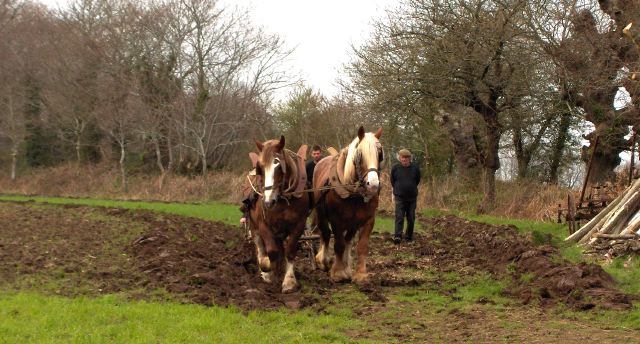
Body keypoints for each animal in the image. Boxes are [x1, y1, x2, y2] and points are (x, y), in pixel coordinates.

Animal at [248, 136, 310, 292]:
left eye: (278, 165)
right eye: (260, 167)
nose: (268, 201)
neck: (282, 199)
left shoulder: (299, 225)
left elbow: (289, 251)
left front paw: (289, 281)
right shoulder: (263, 225)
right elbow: (271, 252)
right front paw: (267, 271)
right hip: (254, 226)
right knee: (260, 246)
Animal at [312, 126, 382, 284]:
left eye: (380, 154)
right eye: (360, 155)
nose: (373, 185)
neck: (354, 194)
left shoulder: (369, 219)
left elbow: (362, 246)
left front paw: (360, 274)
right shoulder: (336, 220)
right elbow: (339, 244)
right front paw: (337, 273)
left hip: (353, 222)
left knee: (348, 240)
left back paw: (347, 268)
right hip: (320, 213)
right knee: (325, 233)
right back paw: (323, 260)